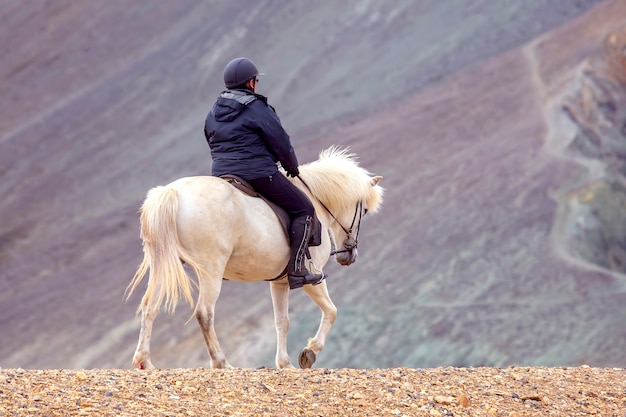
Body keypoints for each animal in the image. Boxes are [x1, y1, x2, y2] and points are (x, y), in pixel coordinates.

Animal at [125, 145, 382, 368]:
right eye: (364, 210)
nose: (349, 255)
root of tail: (171, 193)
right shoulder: (313, 277)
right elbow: (331, 311)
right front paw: (309, 353)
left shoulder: (280, 282)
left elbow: (282, 322)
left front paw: (284, 364)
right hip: (211, 271)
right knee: (204, 313)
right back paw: (222, 364)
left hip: (163, 264)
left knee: (149, 306)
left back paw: (145, 362)